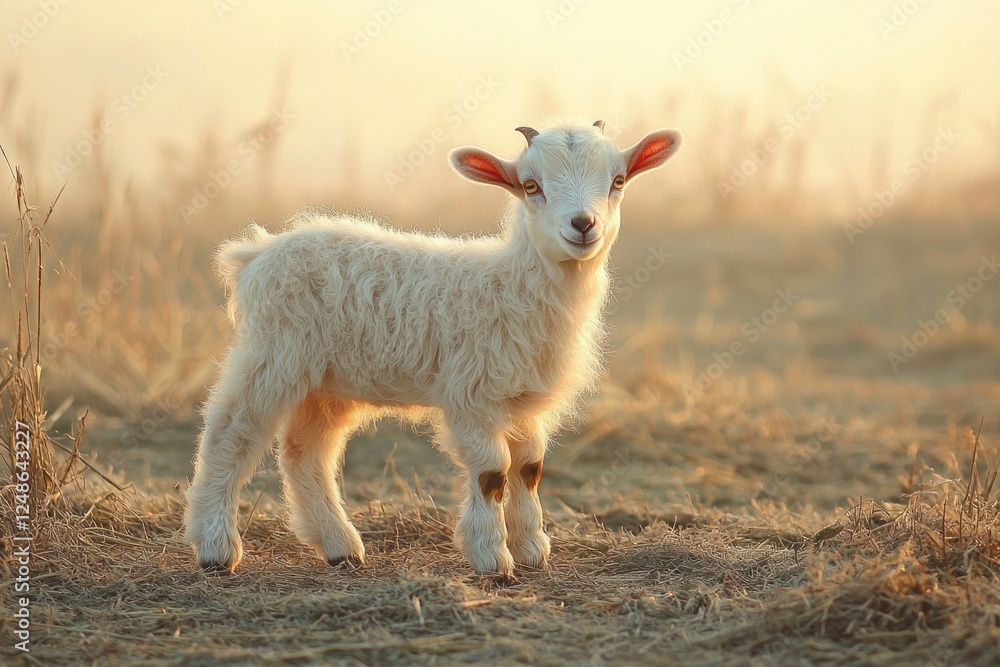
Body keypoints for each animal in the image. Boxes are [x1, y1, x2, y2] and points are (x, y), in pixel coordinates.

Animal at [183, 121, 682, 575]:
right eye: (531, 186)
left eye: (618, 181)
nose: (583, 225)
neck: (511, 284)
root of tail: (257, 252)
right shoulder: (472, 394)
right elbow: (493, 472)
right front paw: (492, 559)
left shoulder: (524, 400)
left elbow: (529, 467)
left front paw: (532, 551)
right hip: (273, 352)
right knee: (230, 434)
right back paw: (216, 548)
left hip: (328, 382)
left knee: (305, 452)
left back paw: (340, 546)